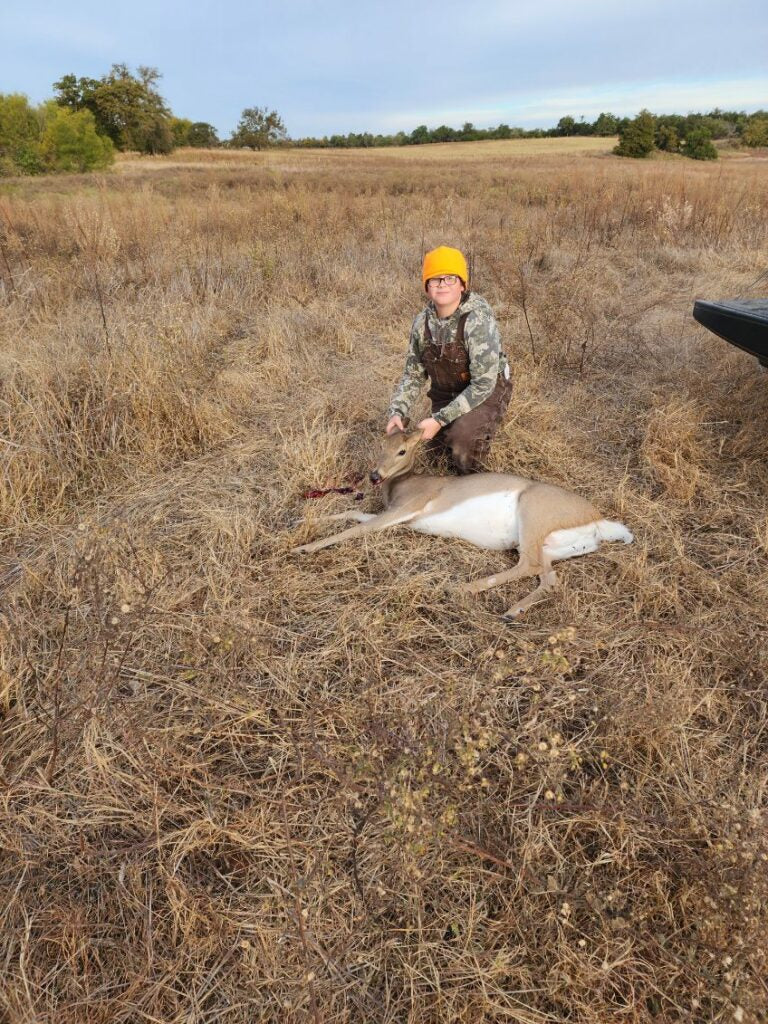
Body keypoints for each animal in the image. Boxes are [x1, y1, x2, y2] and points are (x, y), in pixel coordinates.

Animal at [291, 431, 633, 620]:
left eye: (402, 450)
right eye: (381, 445)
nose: (375, 475)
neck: (405, 483)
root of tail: (598, 521)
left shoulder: (408, 508)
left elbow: (357, 528)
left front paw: (304, 547)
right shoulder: (393, 512)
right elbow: (352, 515)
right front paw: (300, 522)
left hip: (531, 515)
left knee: (528, 566)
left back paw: (461, 588)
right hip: (551, 547)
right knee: (548, 578)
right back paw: (511, 612)